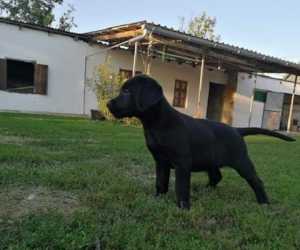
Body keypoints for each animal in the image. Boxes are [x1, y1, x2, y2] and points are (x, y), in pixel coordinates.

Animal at [106, 74, 294, 209]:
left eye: (127, 92)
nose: (108, 104)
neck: (157, 124)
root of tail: (237, 130)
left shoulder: (182, 163)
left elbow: (181, 187)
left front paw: (183, 207)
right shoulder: (160, 161)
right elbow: (160, 182)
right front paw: (157, 199)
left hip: (242, 162)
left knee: (256, 181)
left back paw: (264, 202)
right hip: (211, 161)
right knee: (217, 176)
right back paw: (206, 190)